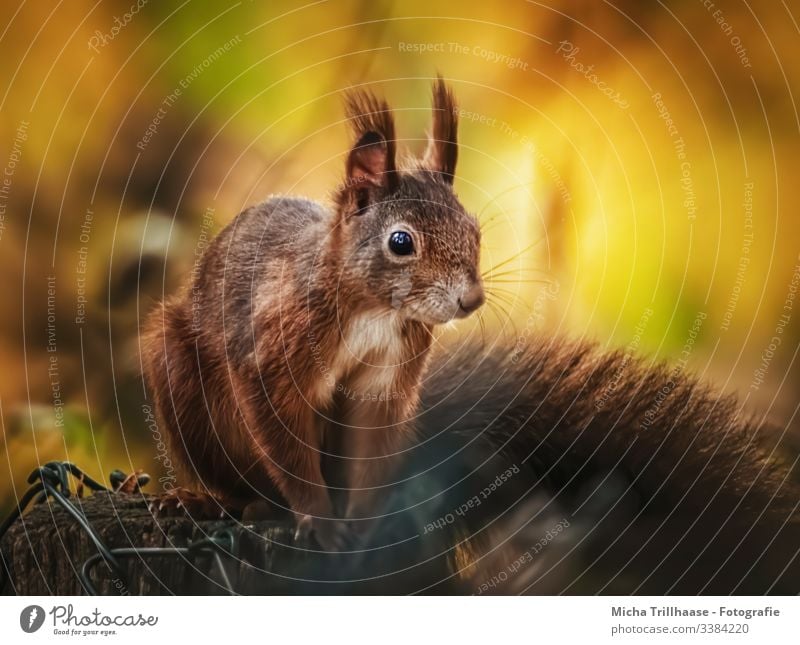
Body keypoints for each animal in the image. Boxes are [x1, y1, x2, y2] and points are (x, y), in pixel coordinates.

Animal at [141, 78, 484, 552]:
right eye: (400, 242)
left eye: (476, 232)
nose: (472, 300)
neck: (375, 309)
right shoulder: (273, 354)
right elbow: (287, 446)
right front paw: (322, 523)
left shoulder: (388, 375)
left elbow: (369, 449)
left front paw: (363, 526)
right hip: (182, 384)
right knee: (243, 485)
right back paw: (211, 502)